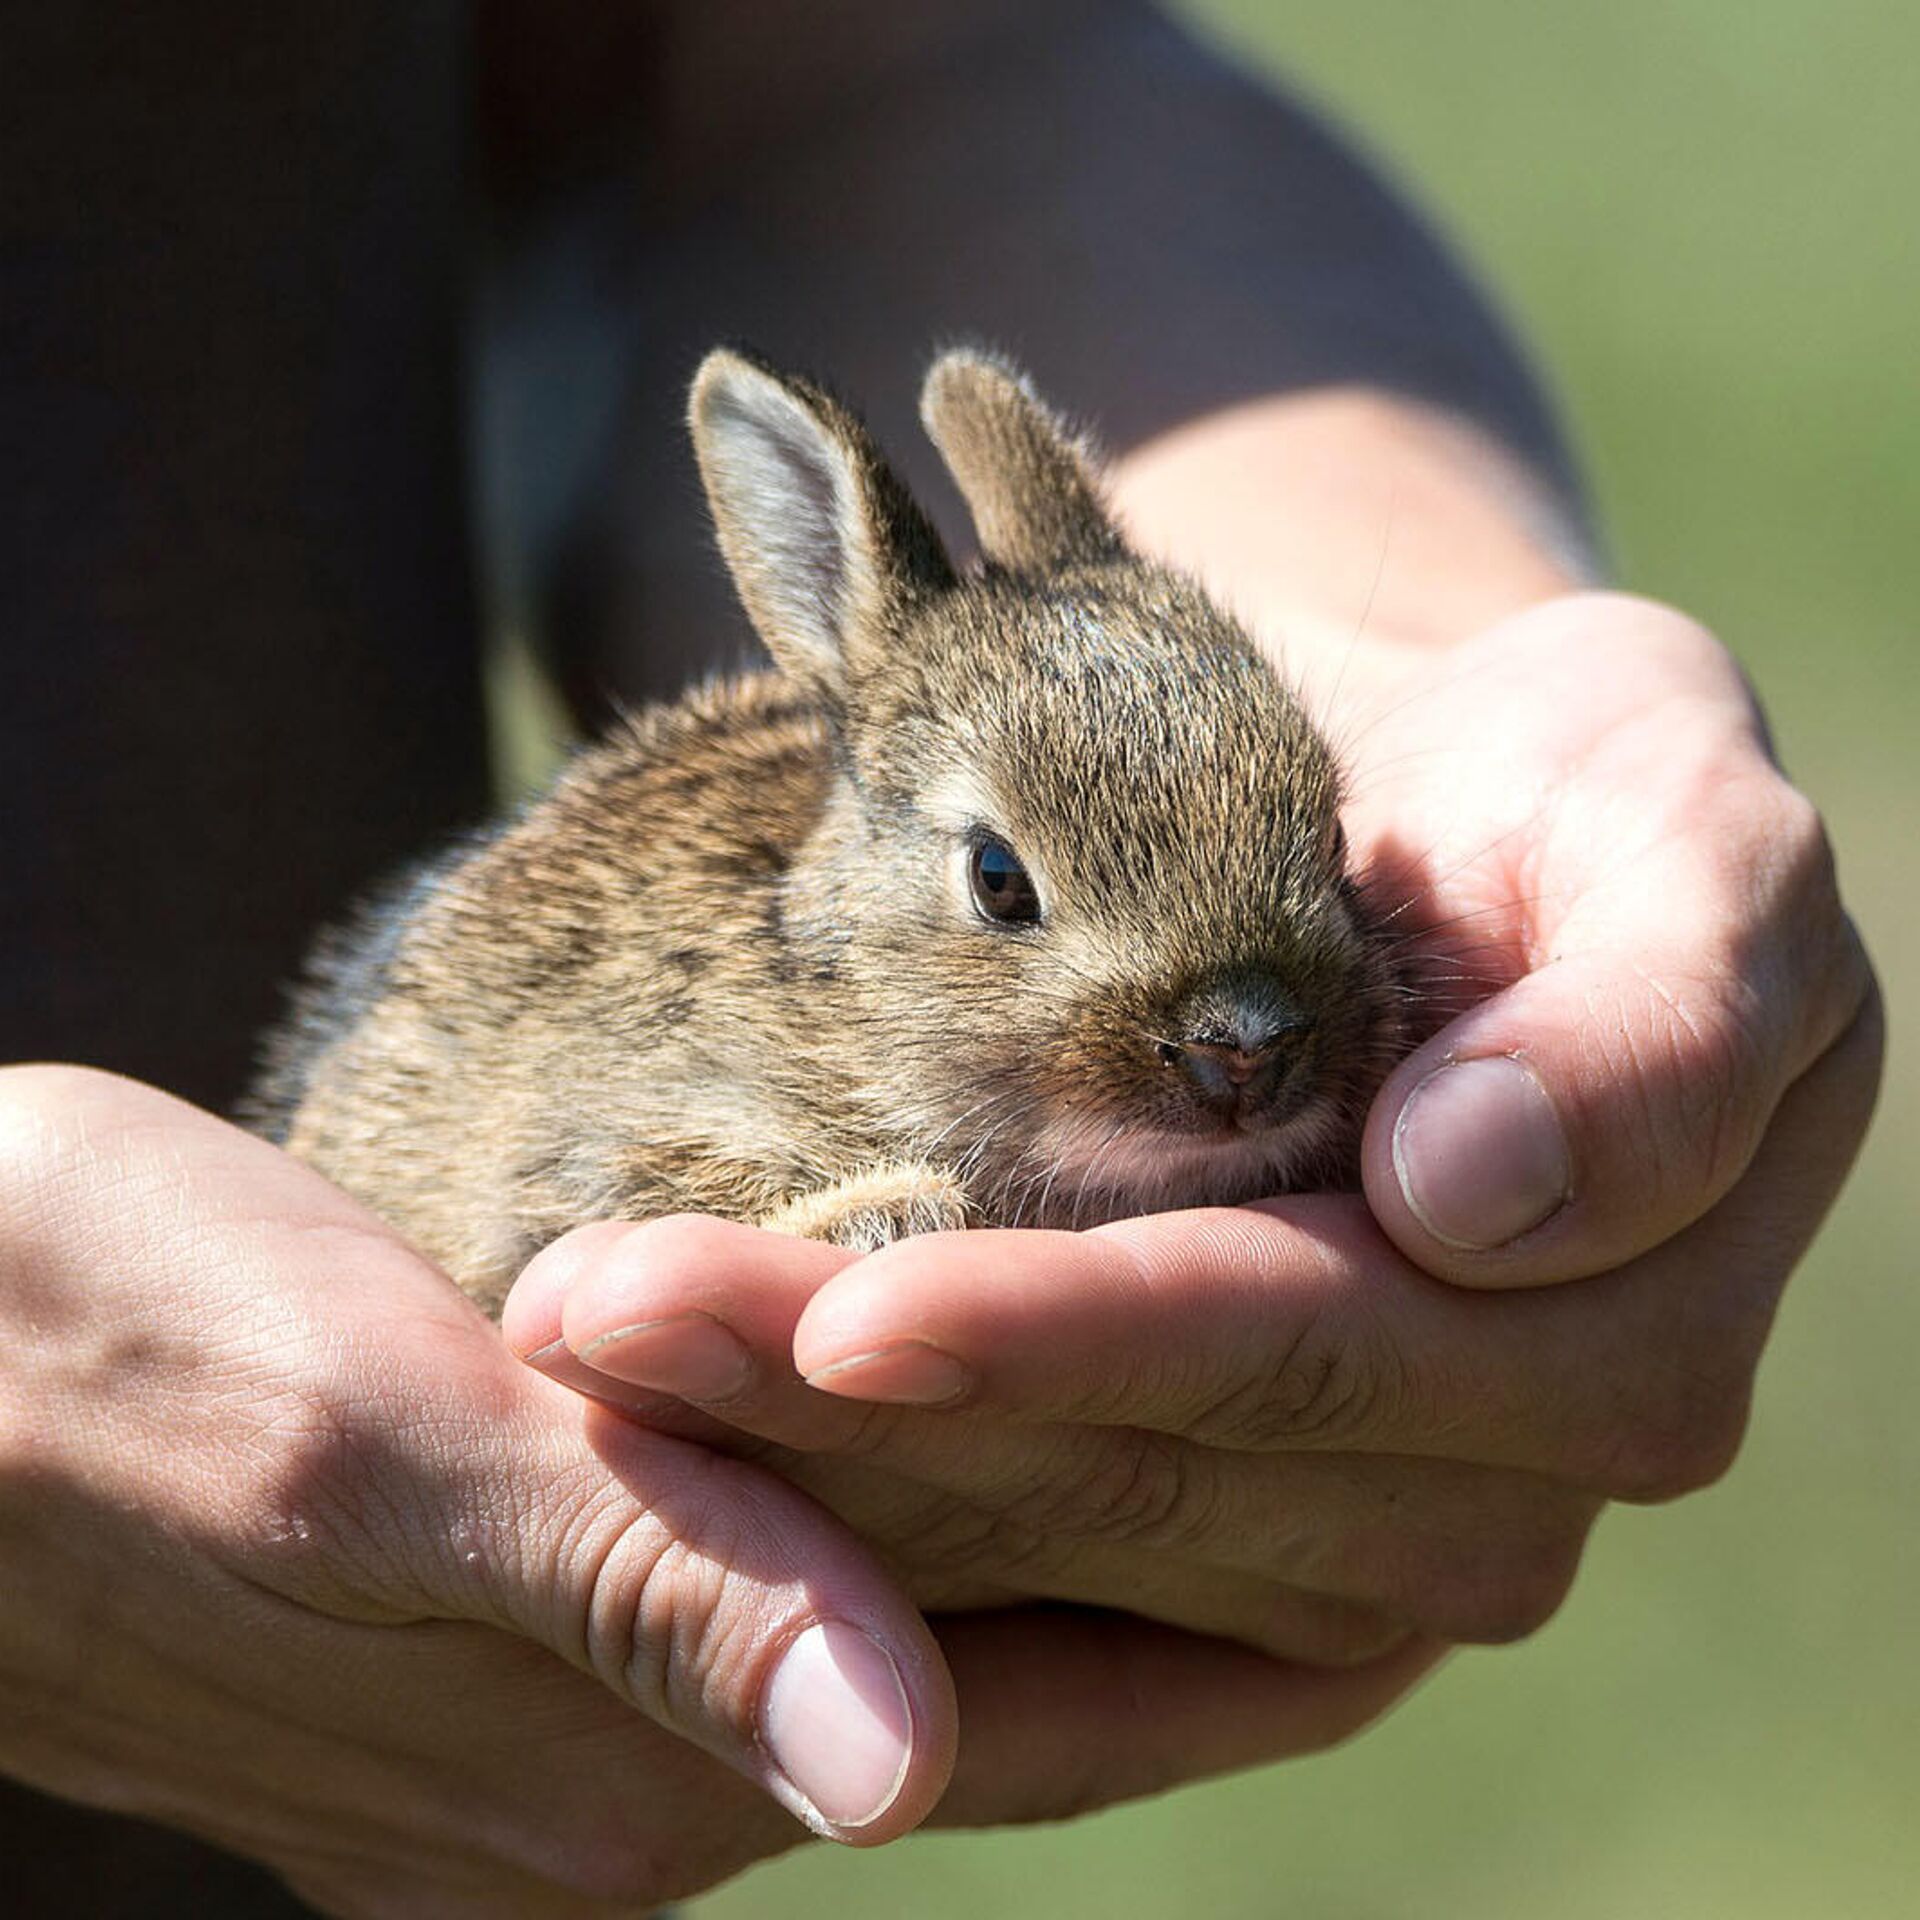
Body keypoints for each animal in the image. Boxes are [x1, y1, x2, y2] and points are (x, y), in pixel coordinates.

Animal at [251, 349, 1397, 1320]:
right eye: (997, 879)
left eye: (1334, 838)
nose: (1244, 1046)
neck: (842, 997)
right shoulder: (581, 1153)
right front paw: (887, 1212)